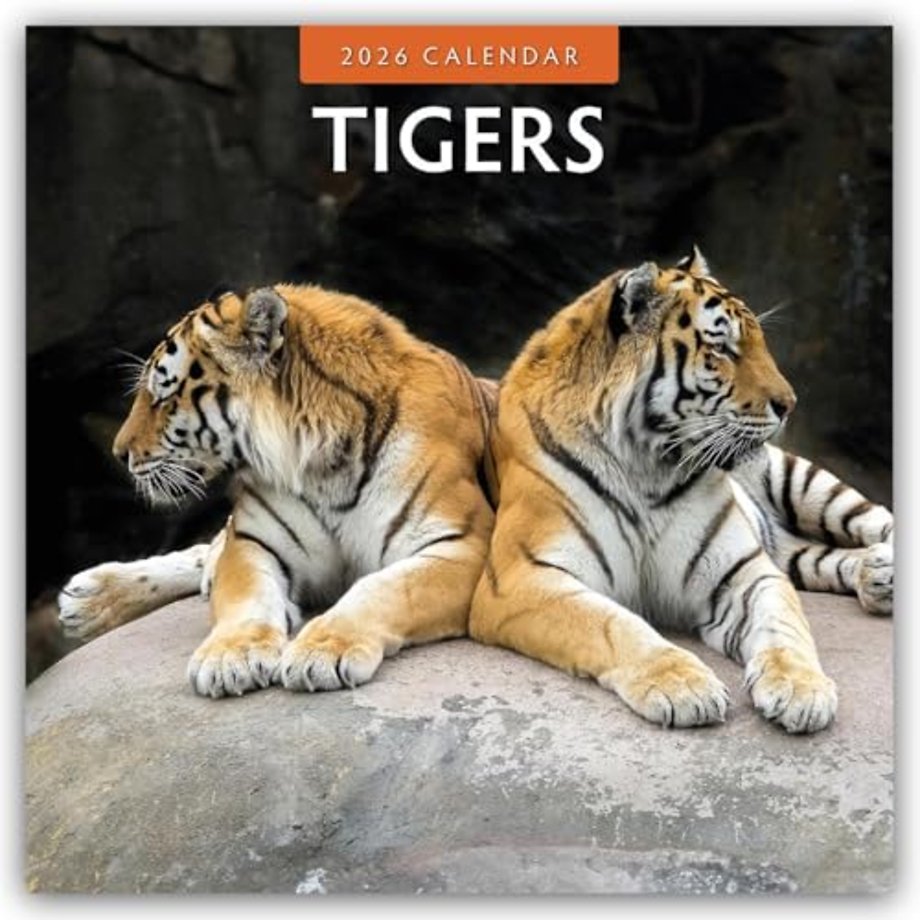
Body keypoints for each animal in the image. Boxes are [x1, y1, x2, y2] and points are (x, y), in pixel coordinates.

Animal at [58, 283, 496, 698]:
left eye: (163, 397)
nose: (120, 454)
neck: (322, 462)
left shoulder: (462, 546)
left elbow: (382, 588)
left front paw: (321, 653)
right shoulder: (254, 542)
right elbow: (246, 598)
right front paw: (229, 658)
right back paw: (90, 597)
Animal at [469, 247, 893, 734]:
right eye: (722, 348)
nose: (789, 405)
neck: (647, 468)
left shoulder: (744, 571)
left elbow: (784, 626)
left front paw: (801, 689)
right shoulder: (524, 575)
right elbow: (610, 624)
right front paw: (684, 687)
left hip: (804, 482)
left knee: (878, 522)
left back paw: (884, 568)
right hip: (790, 545)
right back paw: (875, 577)